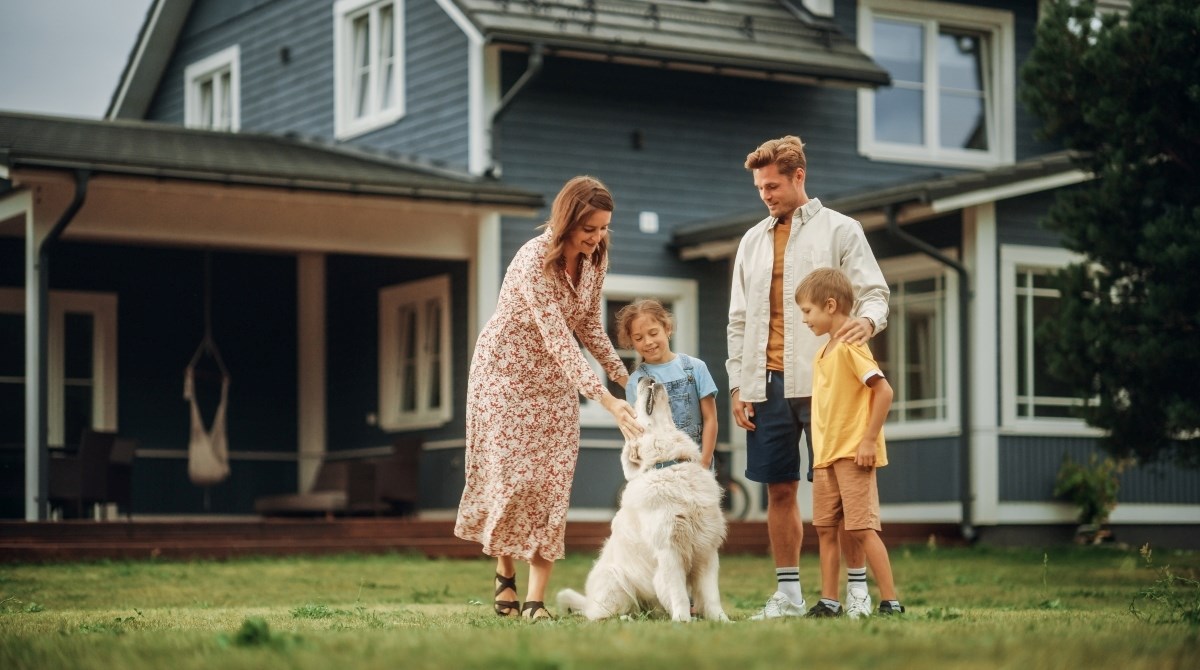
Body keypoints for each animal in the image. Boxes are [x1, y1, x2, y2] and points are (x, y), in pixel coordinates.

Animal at [556, 379, 724, 624]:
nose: (645, 378)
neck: (669, 464)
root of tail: (589, 603)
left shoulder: (707, 548)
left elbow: (712, 596)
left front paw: (723, 621)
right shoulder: (668, 550)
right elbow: (679, 594)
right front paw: (683, 621)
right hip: (615, 579)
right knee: (600, 616)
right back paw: (624, 619)